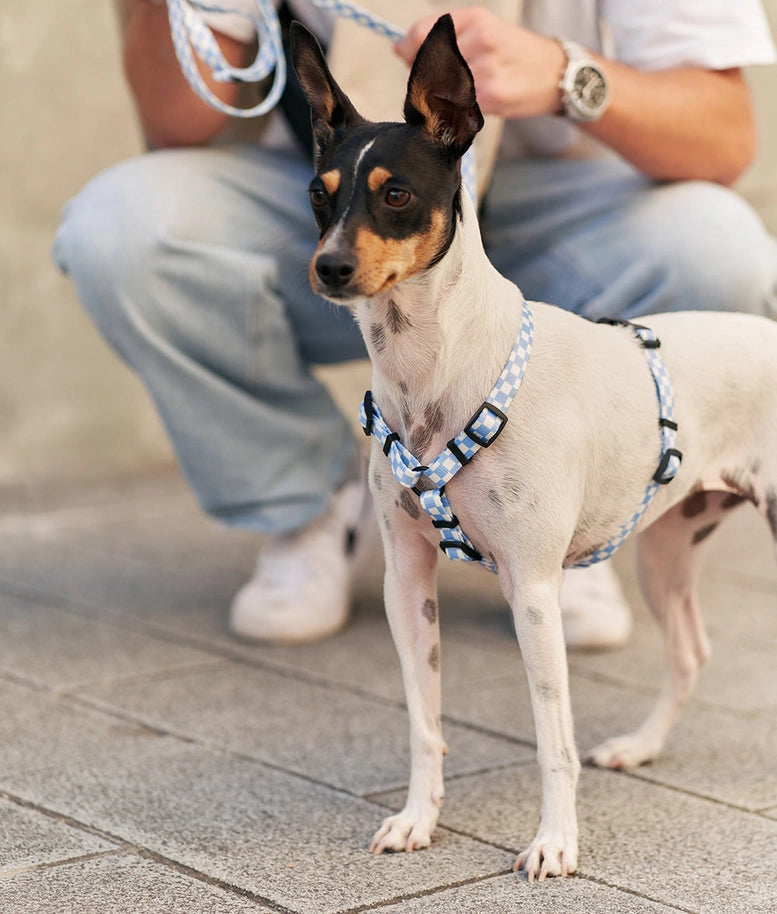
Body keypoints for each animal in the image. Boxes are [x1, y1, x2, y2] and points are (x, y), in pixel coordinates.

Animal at [288, 14, 776, 880]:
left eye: (396, 194)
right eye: (318, 194)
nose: (329, 268)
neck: (435, 372)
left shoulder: (534, 590)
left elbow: (554, 742)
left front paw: (555, 843)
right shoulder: (405, 583)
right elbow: (424, 722)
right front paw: (417, 819)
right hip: (667, 552)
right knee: (690, 653)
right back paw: (640, 745)